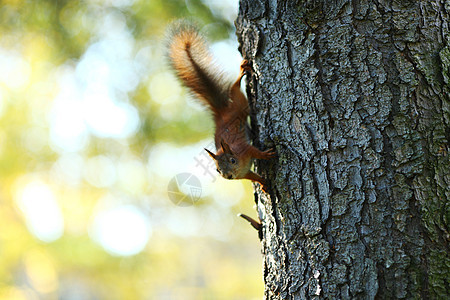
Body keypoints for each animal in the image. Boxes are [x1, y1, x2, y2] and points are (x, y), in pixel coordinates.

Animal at [166, 22, 274, 193]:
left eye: (232, 160)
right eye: (217, 170)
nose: (228, 176)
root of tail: (221, 113)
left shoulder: (245, 149)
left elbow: (255, 151)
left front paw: (265, 155)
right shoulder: (245, 173)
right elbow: (254, 177)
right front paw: (263, 184)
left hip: (239, 104)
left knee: (234, 89)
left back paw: (242, 71)